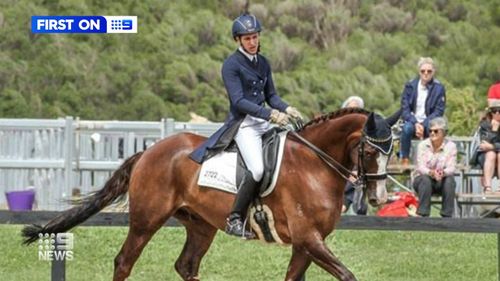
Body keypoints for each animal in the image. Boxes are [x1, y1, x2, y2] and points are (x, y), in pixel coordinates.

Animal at [22, 108, 390, 280]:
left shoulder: (306, 243)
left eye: (392, 150)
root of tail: (150, 151)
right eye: (370, 150)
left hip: (201, 225)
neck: (315, 164)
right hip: (147, 220)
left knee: (186, 265)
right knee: (124, 261)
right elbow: (348, 275)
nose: (378, 198)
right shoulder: (309, 238)